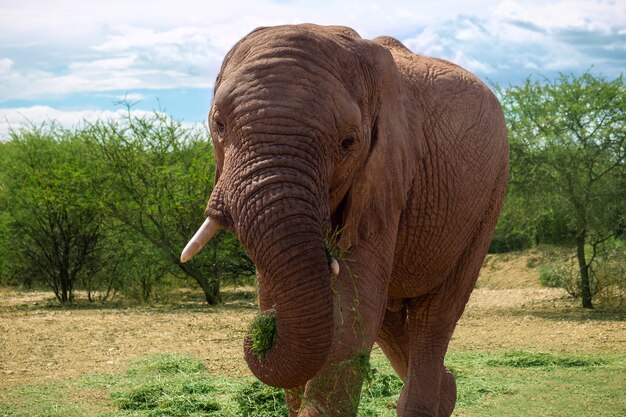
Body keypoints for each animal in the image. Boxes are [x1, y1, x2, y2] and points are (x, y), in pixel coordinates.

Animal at [182, 23, 508, 416]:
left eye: (348, 143)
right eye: (219, 124)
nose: (262, 332)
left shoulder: (386, 174)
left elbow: (352, 312)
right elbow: (298, 301)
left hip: (490, 197)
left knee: (434, 316)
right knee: (388, 320)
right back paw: (446, 392)